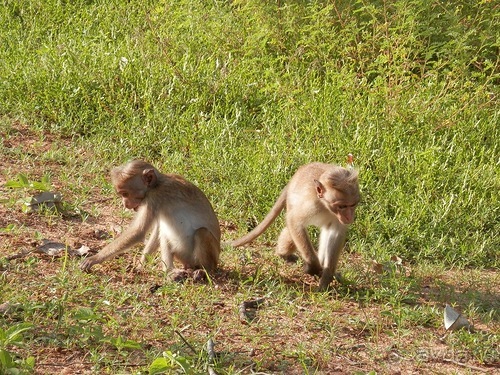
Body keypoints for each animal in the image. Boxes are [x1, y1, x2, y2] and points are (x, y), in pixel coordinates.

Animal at [80, 159, 221, 280]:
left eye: (125, 193)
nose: (125, 204)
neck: (156, 184)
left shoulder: (153, 197)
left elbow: (138, 232)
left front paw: (95, 258)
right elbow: (157, 230)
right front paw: (140, 264)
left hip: (210, 257)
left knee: (202, 232)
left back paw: (205, 271)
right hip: (183, 257)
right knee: (164, 234)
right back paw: (171, 272)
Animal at [230, 162, 360, 290]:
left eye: (353, 205)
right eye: (342, 206)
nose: (349, 217)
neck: (326, 206)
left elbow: (335, 234)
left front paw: (327, 276)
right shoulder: (311, 205)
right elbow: (294, 221)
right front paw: (313, 266)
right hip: (291, 200)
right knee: (291, 229)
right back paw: (283, 254)